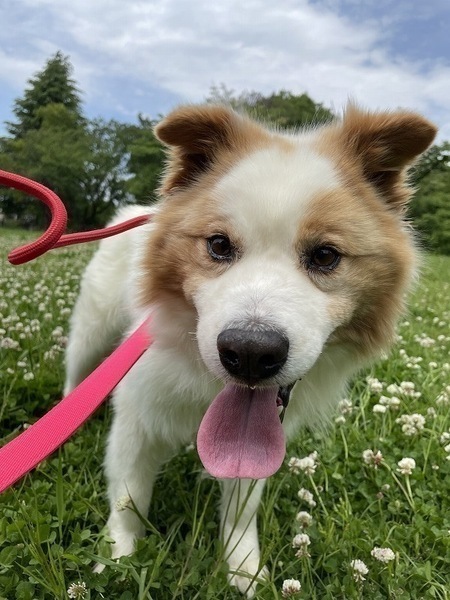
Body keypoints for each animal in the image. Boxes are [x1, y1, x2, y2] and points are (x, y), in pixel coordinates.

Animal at [65, 103, 436, 596]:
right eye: (219, 245)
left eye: (325, 255)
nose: (250, 353)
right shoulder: (137, 418)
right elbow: (128, 500)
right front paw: (117, 560)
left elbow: (241, 515)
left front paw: (243, 571)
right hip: (91, 329)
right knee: (75, 375)